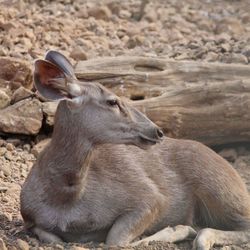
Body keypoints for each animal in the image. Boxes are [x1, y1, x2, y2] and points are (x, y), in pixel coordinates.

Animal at [20, 49, 250, 249]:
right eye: (112, 101)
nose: (157, 131)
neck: (65, 198)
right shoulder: (29, 217)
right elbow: (52, 237)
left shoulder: (150, 197)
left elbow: (116, 240)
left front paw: (178, 229)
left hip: (219, 189)